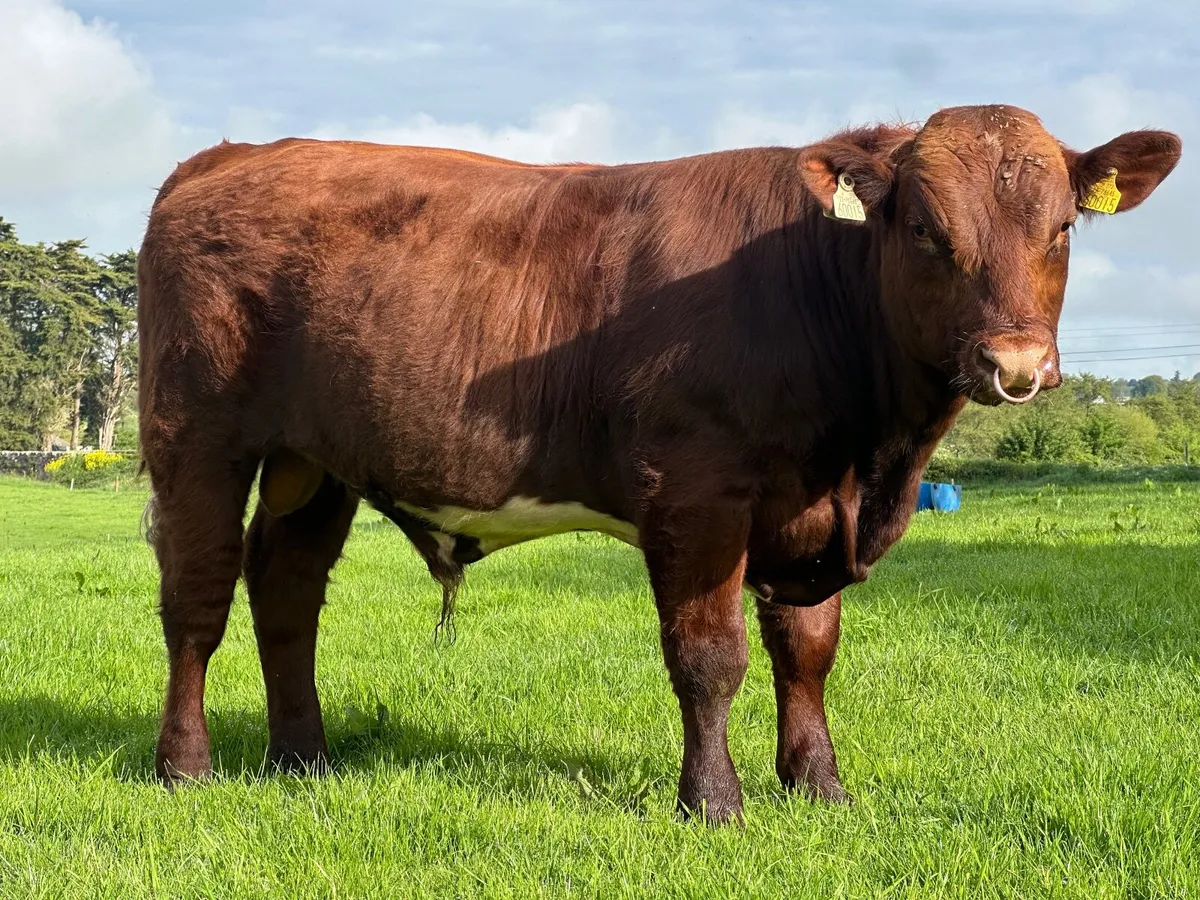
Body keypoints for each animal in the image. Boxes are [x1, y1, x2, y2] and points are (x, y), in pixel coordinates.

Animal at [137, 104, 1180, 822]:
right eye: (925, 230)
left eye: (1063, 228)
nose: (1017, 362)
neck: (869, 455)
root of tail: (228, 156)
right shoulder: (696, 497)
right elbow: (709, 657)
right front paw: (713, 802)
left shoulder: (807, 512)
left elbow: (808, 650)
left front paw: (819, 785)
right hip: (195, 439)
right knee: (199, 600)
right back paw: (186, 767)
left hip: (317, 462)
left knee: (286, 590)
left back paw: (302, 757)